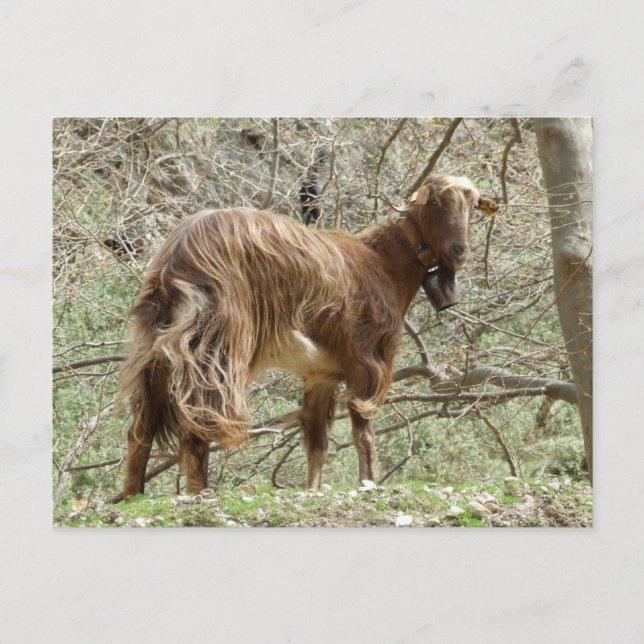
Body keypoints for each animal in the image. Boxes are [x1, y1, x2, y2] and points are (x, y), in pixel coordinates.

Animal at [119, 175, 497, 497]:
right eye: (434, 201)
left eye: (474, 205)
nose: (459, 251)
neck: (384, 264)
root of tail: (176, 260)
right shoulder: (367, 359)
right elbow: (364, 432)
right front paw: (368, 483)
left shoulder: (321, 374)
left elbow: (317, 443)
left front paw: (312, 489)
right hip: (217, 340)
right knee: (200, 417)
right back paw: (200, 494)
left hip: (157, 343)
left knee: (141, 426)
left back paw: (133, 496)